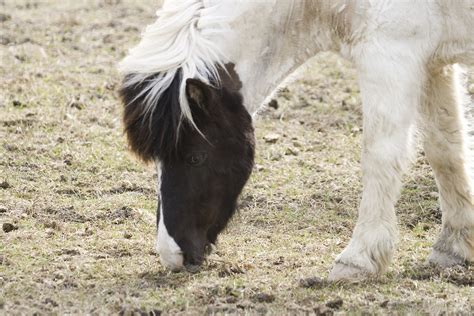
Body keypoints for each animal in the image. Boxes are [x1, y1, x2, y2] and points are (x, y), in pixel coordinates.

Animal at [116, 0, 472, 282]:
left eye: (195, 157)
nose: (171, 255)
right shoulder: (431, 65)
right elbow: (445, 150)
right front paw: (454, 247)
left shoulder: (390, 58)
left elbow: (380, 157)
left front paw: (358, 259)